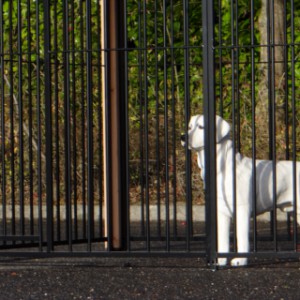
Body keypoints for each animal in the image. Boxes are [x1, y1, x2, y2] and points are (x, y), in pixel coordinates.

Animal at [182, 115, 298, 268]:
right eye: (189, 127)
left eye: (201, 127)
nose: (183, 136)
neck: (222, 167)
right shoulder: (221, 212)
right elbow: (223, 240)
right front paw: (220, 261)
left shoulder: (242, 209)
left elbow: (242, 237)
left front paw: (240, 260)